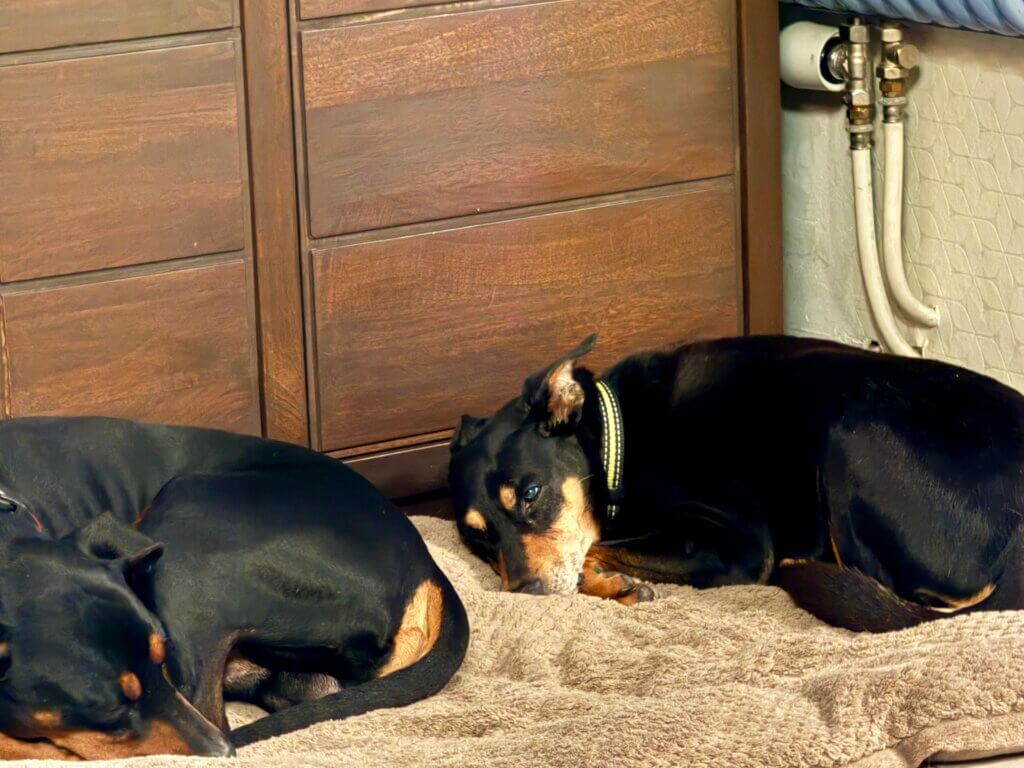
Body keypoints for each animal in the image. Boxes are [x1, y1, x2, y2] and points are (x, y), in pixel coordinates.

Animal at [448, 334, 1024, 630]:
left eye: (530, 494)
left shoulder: (734, 543)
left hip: (853, 431)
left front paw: (612, 583)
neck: (618, 439)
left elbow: (594, 548)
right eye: (478, 538)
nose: (524, 594)